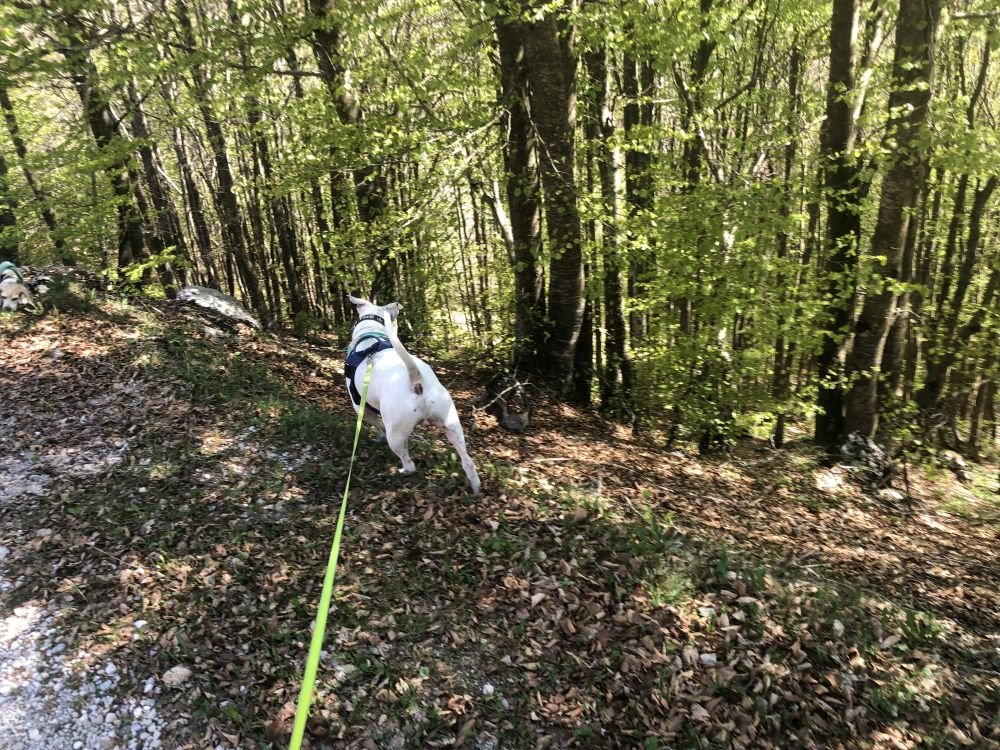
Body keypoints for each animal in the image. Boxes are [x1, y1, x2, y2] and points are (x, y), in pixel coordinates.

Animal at [345, 295, 481, 495]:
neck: (370, 334)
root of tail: (415, 377)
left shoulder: (362, 409)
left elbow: (378, 424)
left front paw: (379, 437)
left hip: (396, 434)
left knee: (409, 463)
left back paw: (401, 471)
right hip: (452, 425)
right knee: (468, 461)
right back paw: (475, 486)